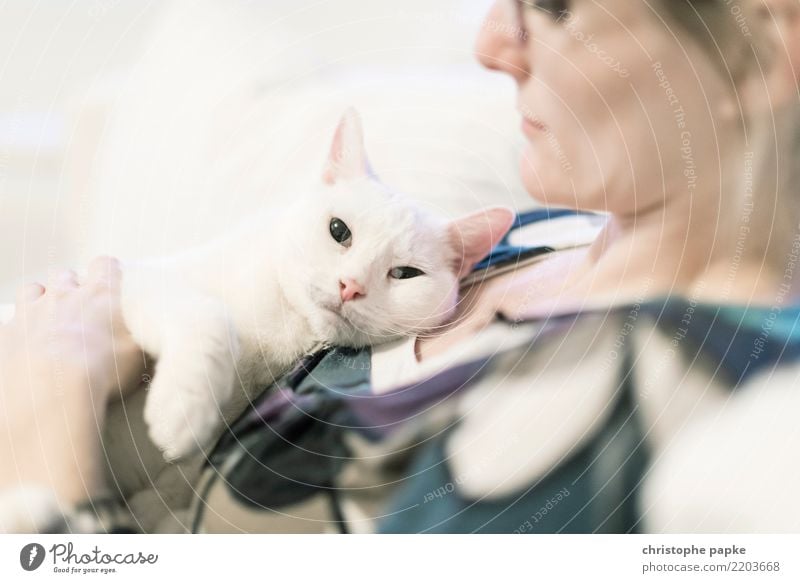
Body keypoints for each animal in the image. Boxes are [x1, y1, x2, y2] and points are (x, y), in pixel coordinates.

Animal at [121, 109, 516, 464]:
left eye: (405, 273)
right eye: (338, 230)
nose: (350, 286)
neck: (285, 325)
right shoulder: (136, 276)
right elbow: (210, 317)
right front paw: (183, 408)